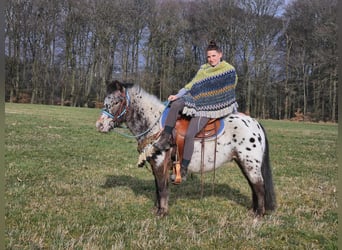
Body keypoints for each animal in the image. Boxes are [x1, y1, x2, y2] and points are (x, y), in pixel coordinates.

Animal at [95, 81, 276, 218]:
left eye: (116, 102)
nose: (100, 125)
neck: (156, 126)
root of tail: (255, 123)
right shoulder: (155, 164)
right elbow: (157, 188)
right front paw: (157, 209)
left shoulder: (160, 163)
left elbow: (162, 188)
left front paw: (162, 212)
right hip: (244, 162)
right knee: (253, 186)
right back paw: (253, 211)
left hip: (250, 163)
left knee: (259, 186)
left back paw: (258, 215)